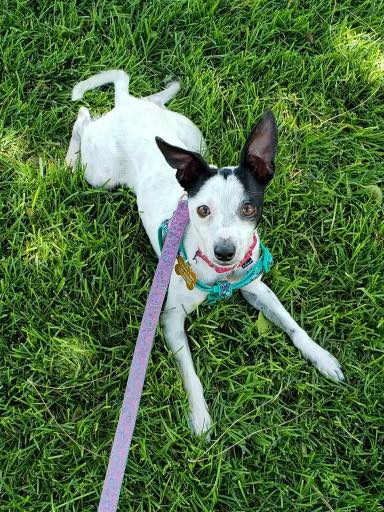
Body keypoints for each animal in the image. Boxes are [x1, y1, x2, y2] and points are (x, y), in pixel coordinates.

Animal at [64, 69, 344, 436]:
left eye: (249, 209)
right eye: (202, 211)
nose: (225, 251)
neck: (220, 276)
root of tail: (125, 105)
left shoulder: (257, 289)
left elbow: (294, 327)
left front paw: (321, 357)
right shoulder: (170, 320)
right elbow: (190, 375)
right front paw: (199, 416)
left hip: (193, 139)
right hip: (100, 174)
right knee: (82, 119)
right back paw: (69, 158)